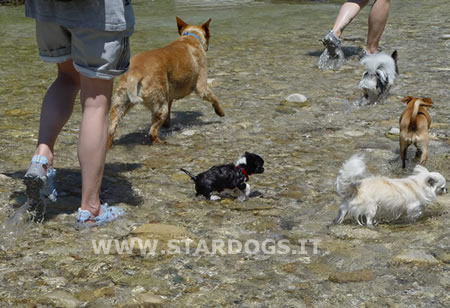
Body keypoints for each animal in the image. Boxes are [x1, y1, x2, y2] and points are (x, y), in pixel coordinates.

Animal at [106, 16, 225, 148]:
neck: (190, 37)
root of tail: (135, 71)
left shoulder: (169, 96)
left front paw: (167, 125)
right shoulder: (201, 86)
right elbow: (214, 98)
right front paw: (220, 112)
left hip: (120, 103)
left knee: (111, 128)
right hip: (160, 106)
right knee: (152, 133)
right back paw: (163, 142)